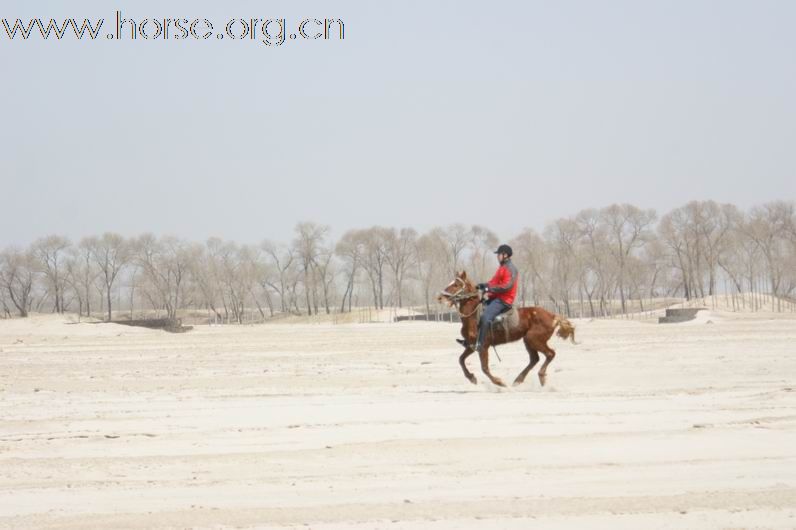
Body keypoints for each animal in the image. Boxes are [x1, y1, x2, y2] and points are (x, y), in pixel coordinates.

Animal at [438, 270, 576, 386]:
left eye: (456, 285)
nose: (440, 297)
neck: (473, 316)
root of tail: (552, 315)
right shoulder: (472, 346)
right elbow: (461, 360)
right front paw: (471, 378)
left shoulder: (483, 346)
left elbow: (484, 368)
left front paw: (499, 382)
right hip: (528, 341)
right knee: (534, 359)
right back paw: (518, 380)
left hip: (534, 340)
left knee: (550, 354)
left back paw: (540, 376)